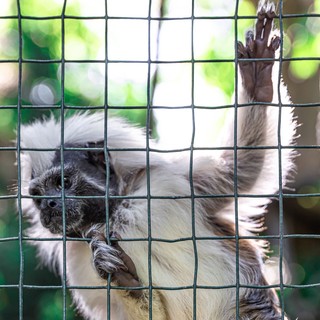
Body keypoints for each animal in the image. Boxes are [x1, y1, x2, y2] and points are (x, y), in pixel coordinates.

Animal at [19, 1, 296, 318]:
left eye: (63, 182)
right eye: (39, 197)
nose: (50, 205)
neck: (112, 215)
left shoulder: (171, 183)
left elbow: (241, 169)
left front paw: (257, 81)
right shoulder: (77, 263)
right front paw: (125, 280)